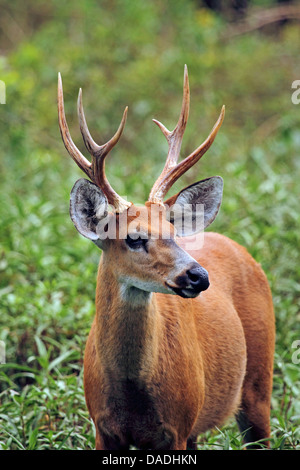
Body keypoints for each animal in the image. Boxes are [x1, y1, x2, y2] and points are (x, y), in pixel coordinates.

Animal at [57, 66, 276, 452]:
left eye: (173, 231)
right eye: (134, 238)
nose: (199, 276)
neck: (131, 394)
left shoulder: (177, 427)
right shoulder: (102, 428)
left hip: (259, 382)